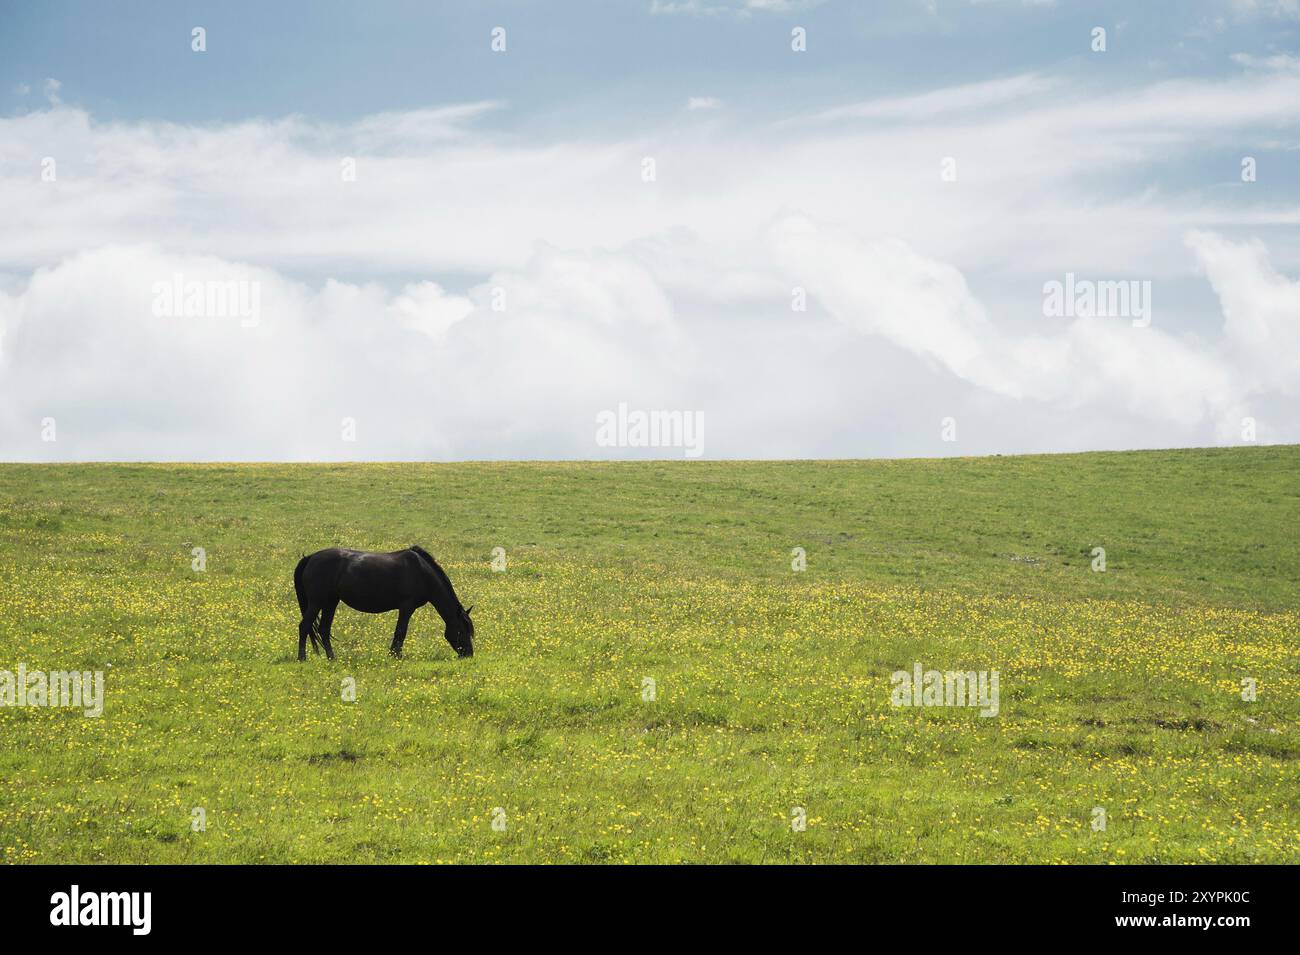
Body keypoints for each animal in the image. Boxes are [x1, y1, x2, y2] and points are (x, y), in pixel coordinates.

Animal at [292, 548, 475, 660]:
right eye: (462, 630)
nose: (468, 654)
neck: (422, 572)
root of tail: (310, 558)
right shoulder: (407, 607)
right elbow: (401, 631)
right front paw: (395, 655)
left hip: (330, 602)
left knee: (323, 629)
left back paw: (332, 658)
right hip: (317, 602)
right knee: (304, 626)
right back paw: (302, 658)